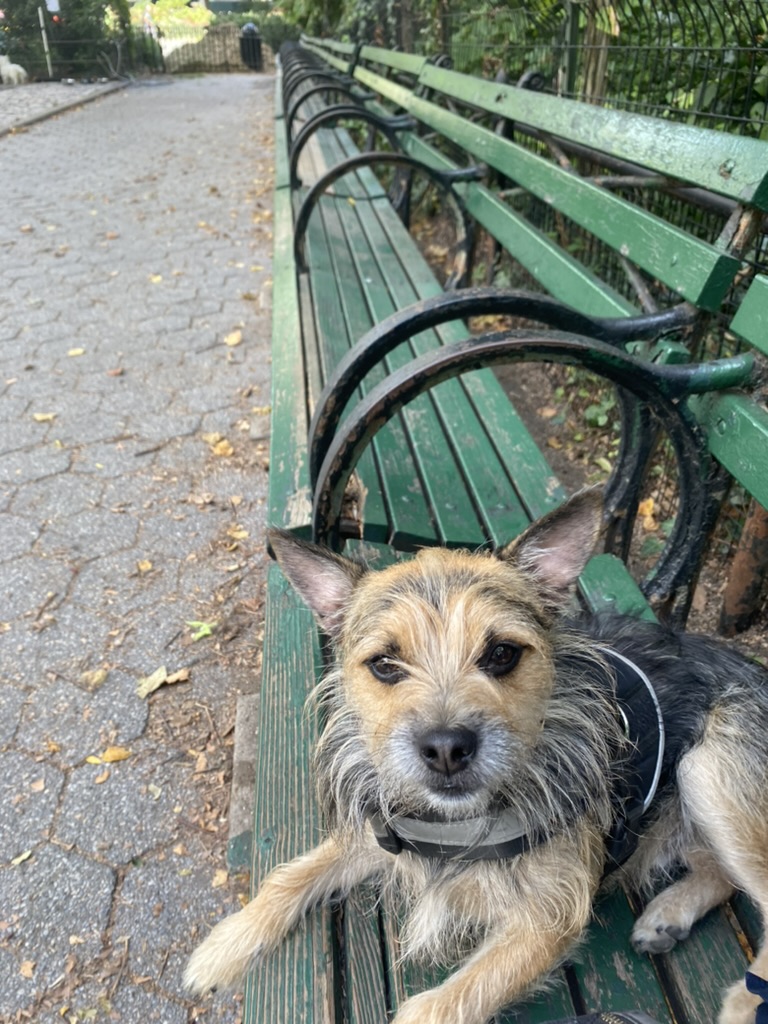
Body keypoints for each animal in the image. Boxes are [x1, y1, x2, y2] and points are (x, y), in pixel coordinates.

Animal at [186, 487, 768, 1024]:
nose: (446, 748)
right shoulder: (382, 831)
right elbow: (289, 874)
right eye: (385, 665)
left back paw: (742, 1000)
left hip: (708, 766)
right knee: (720, 873)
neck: (457, 825)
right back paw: (668, 914)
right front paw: (223, 945)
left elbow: (440, 1007)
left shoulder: (549, 919)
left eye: (502, 654)